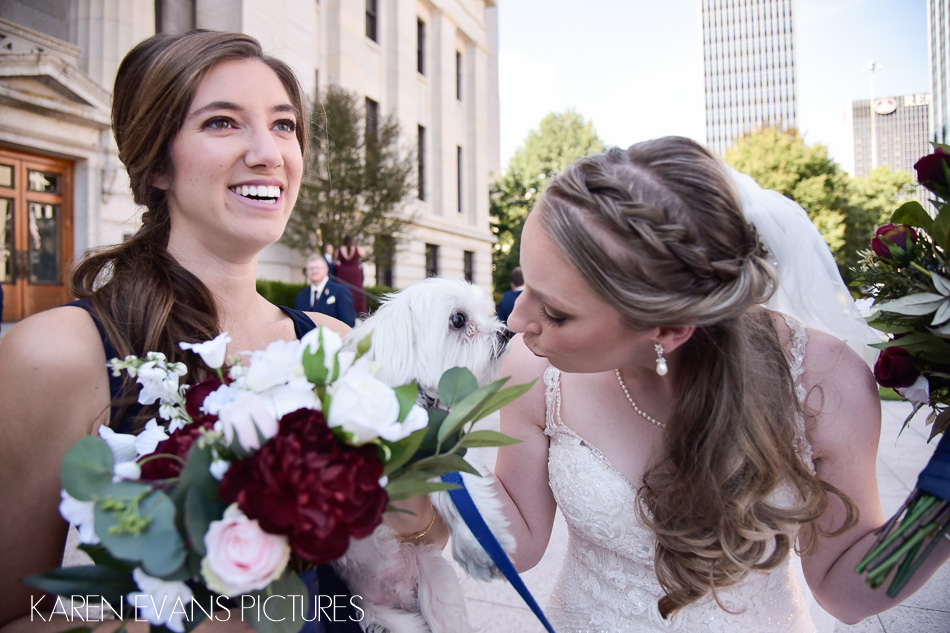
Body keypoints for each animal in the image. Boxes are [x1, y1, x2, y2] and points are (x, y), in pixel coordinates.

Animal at [332, 277, 517, 633]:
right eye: (458, 320)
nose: (505, 333)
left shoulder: (444, 454)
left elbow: (464, 492)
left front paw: (481, 544)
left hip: (434, 584)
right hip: (376, 614)